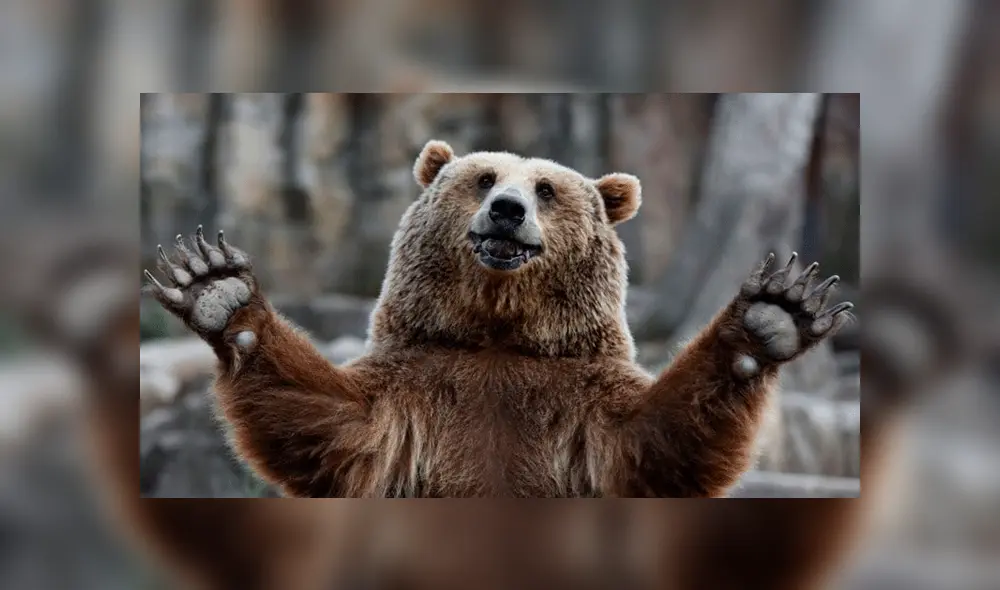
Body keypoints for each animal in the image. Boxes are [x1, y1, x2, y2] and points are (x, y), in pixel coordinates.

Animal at [143, 138, 853, 498]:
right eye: (483, 178)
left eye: (546, 189)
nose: (507, 210)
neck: (498, 333)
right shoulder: (418, 384)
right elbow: (327, 421)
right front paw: (217, 289)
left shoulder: (578, 395)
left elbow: (657, 441)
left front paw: (773, 314)